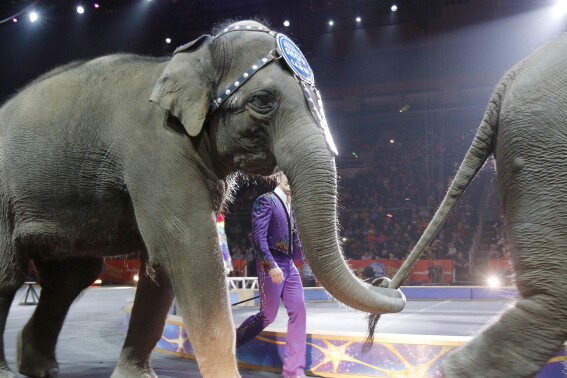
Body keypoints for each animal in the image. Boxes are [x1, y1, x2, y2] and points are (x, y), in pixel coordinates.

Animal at [0, 19, 406, 378]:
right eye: (263, 100)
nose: (388, 282)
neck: (192, 55)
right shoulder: (157, 147)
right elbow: (188, 250)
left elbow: (162, 266)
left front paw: (135, 375)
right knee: (12, 275)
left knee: (71, 277)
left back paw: (39, 366)